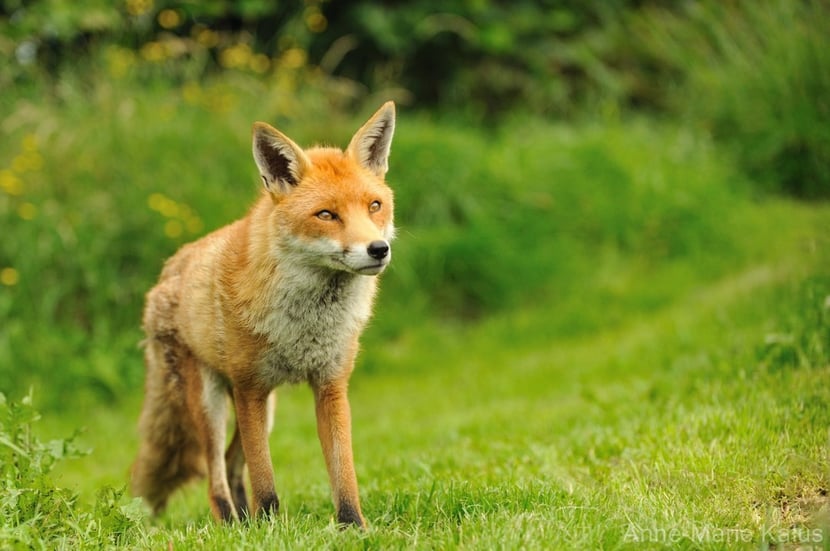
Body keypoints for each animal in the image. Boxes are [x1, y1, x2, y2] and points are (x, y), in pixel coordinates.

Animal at [131, 102, 397, 528]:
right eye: (327, 215)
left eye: (374, 206)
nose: (378, 249)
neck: (307, 324)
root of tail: (171, 267)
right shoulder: (249, 388)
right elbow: (265, 479)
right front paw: (271, 528)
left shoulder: (330, 384)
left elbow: (343, 471)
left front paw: (354, 526)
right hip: (213, 402)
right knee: (215, 475)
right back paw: (231, 523)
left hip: (262, 407)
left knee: (230, 464)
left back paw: (244, 522)